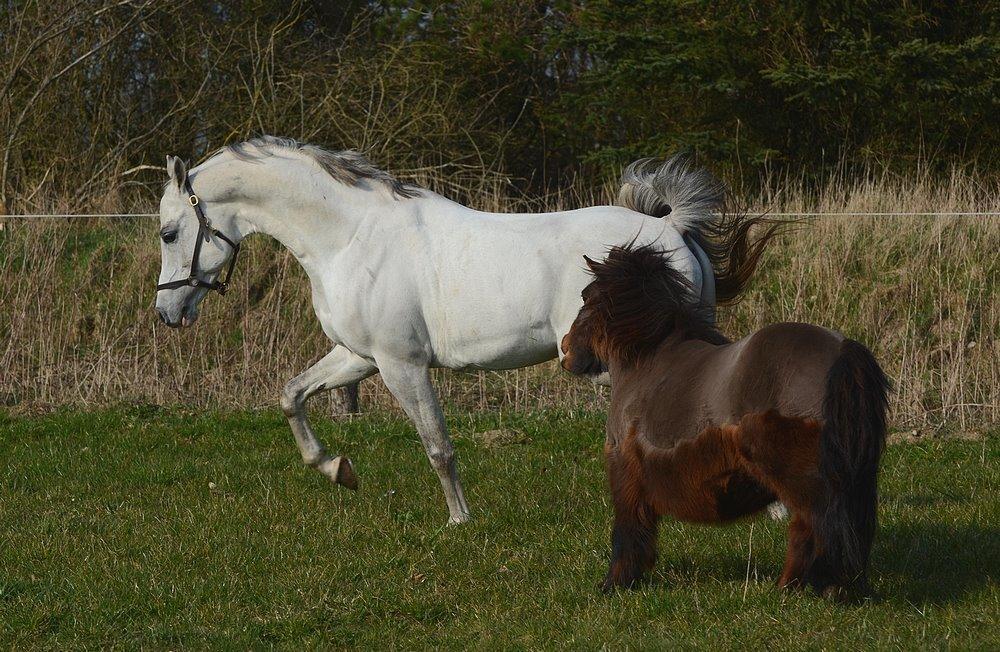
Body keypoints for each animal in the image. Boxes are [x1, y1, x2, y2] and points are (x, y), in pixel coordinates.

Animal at [156, 138, 764, 524]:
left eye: (167, 232)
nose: (167, 313)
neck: (350, 237)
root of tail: (671, 230)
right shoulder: (359, 357)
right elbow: (291, 396)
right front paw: (337, 470)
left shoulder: (401, 365)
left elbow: (438, 447)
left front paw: (459, 521)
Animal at [564, 243, 892, 596]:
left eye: (585, 296)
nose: (566, 349)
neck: (647, 360)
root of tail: (842, 350)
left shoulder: (625, 469)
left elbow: (628, 528)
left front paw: (616, 582)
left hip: (803, 479)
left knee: (812, 526)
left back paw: (799, 587)